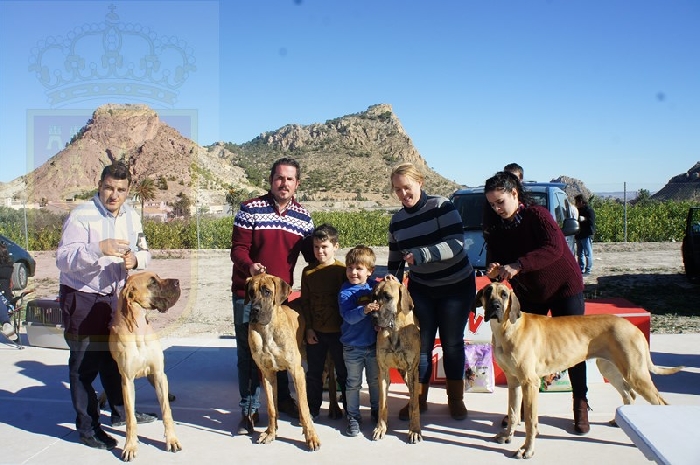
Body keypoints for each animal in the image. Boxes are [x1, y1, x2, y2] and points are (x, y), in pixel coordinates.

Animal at [109, 271, 182, 461]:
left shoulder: (159, 373)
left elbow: (166, 411)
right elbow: (130, 418)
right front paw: (130, 446)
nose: (177, 282)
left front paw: (172, 440)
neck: (139, 330)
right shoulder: (127, 380)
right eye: (152, 282)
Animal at [245, 273, 321, 451]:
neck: (267, 330)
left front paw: (311, 437)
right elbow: (272, 408)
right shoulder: (267, 374)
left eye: (267, 291)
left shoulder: (297, 371)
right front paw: (270, 433)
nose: (254, 310)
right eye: (250, 292)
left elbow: (304, 408)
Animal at [371, 276, 422, 444]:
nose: (373, 317)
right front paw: (381, 428)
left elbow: (415, 405)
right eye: (374, 296)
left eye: (387, 296)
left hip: (409, 374)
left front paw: (415, 430)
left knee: (415, 395)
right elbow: (382, 403)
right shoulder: (383, 371)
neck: (395, 331)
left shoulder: (412, 371)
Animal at [473, 282, 684, 460]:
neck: (507, 327)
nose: (495, 306)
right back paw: (620, 420)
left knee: (660, 402)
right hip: (609, 368)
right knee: (629, 393)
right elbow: (514, 412)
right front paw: (508, 435)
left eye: (504, 294)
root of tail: (632, 326)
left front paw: (527, 449)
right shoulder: (514, 381)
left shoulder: (529, 382)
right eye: (487, 292)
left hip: (635, 374)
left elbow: (530, 422)